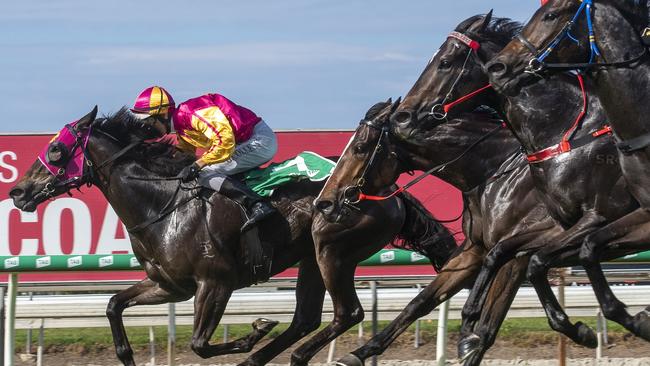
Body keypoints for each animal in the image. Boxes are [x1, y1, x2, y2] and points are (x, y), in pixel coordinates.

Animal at [10, 107, 456, 364]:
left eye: (56, 151)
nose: (17, 192)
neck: (162, 206)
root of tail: (389, 190)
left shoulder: (215, 283)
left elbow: (199, 344)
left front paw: (254, 331)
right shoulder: (169, 285)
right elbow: (113, 307)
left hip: (334, 251)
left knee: (348, 314)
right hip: (311, 257)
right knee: (306, 318)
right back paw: (262, 360)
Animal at [314, 96, 556, 366]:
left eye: (360, 147)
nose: (324, 203)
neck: (499, 170)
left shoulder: (515, 255)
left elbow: (486, 329)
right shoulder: (476, 249)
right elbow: (421, 302)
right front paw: (358, 353)